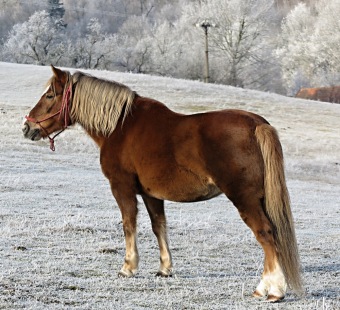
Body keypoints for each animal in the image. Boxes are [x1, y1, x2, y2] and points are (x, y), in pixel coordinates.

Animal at [21, 65, 302, 300]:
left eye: (50, 96)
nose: (26, 128)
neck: (120, 127)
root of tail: (257, 124)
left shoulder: (122, 187)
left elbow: (129, 224)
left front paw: (128, 267)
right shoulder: (151, 194)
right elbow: (159, 226)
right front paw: (165, 268)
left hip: (245, 199)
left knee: (265, 234)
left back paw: (272, 290)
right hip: (261, 199)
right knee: (273, 235)